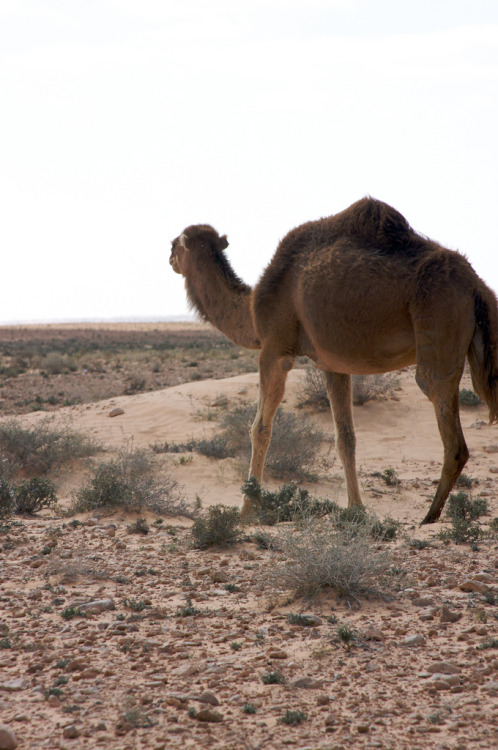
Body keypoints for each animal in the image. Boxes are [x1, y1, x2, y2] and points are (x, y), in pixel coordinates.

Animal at [168, 200, 498, 528]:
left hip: (438, 317)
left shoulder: (275, 348)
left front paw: (246, 509)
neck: (250, 310)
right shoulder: (332, 364)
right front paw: (356, 508)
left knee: (448, 427)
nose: (169, 255)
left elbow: (260, 428)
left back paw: (428, 518)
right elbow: (346, 437)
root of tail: (475, 283)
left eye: (177, 243)